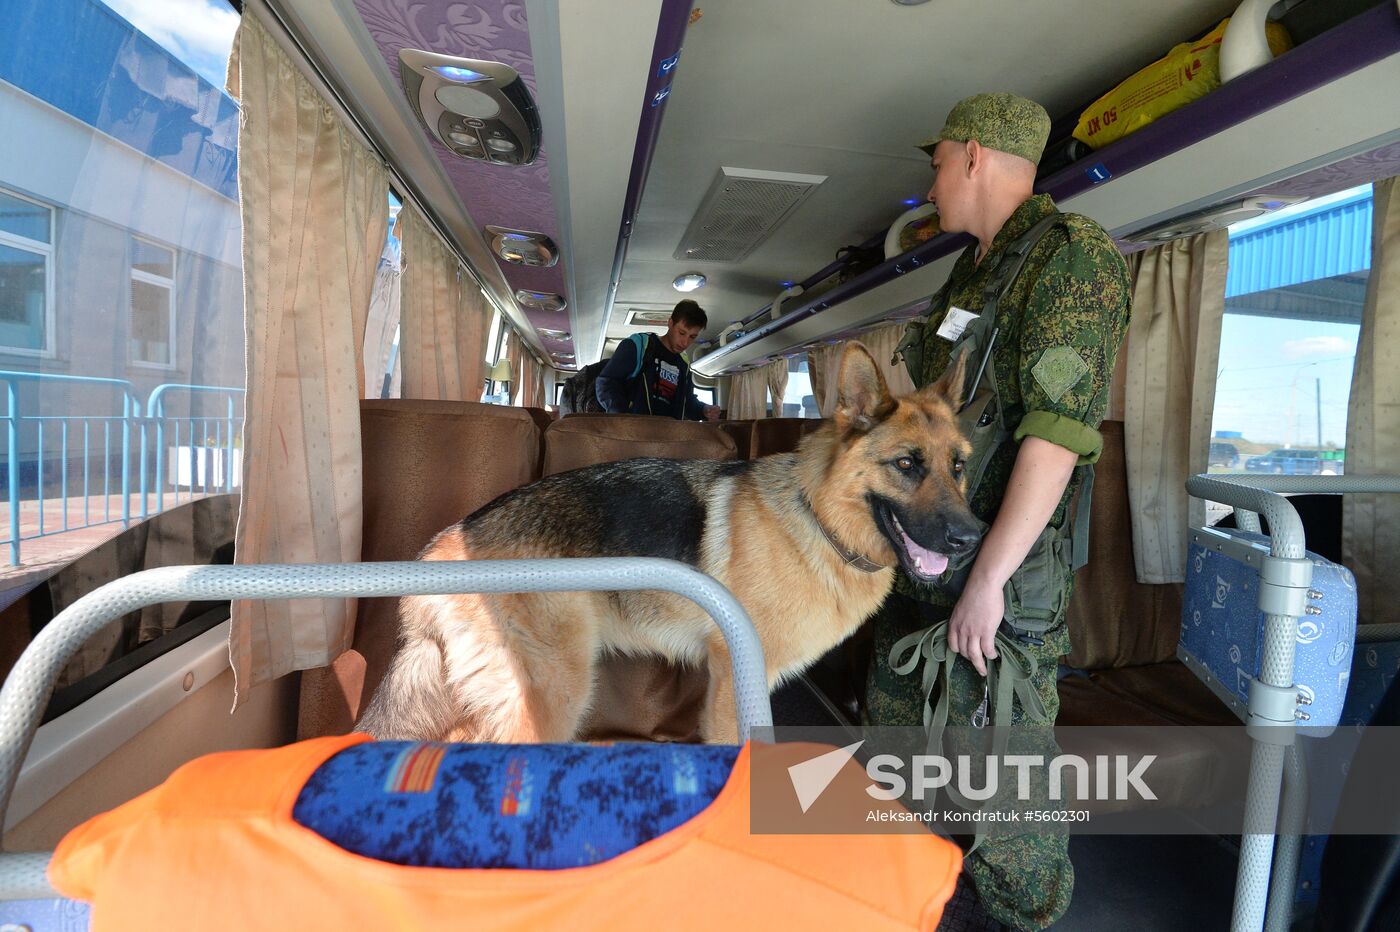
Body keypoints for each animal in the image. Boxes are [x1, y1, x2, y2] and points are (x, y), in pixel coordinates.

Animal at [355, 341, 980, 738]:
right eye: (906, 465)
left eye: (959, 467)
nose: (972, 539)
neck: (815, 518)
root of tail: (442, 546)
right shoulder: (735, 678)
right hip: (552, 695)